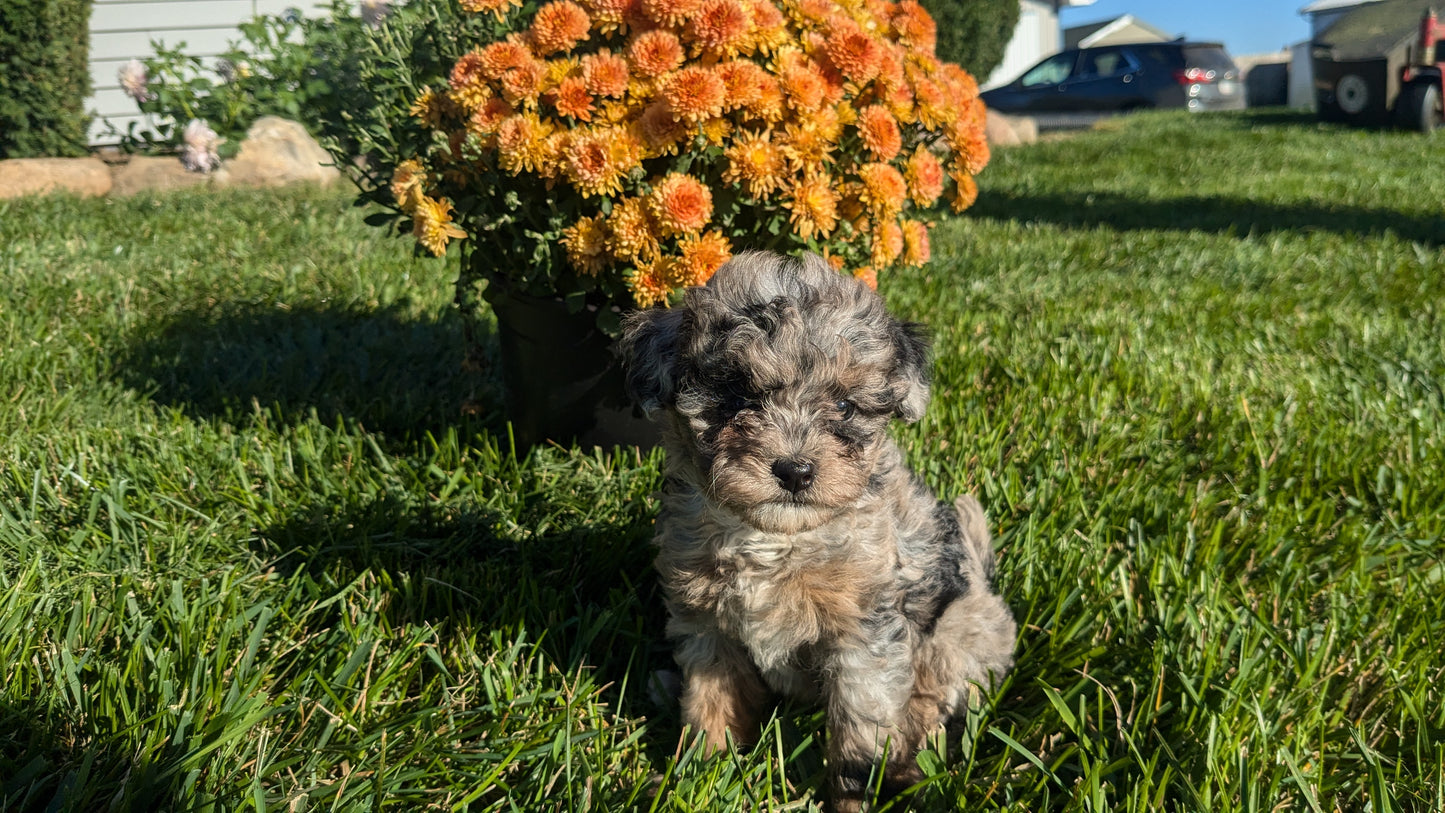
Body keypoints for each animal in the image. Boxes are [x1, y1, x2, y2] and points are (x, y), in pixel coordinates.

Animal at [621, 251, 1017, 808]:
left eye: (845, 406)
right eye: (737, 398)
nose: (795, 471)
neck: (778, 538)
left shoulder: (865, 638)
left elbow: (859, 731)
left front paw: (853, 796)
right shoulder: (706, 626)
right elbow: (711, 700)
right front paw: (697, 774)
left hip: (957, 633)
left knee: (931, 702)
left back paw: (911, 770)